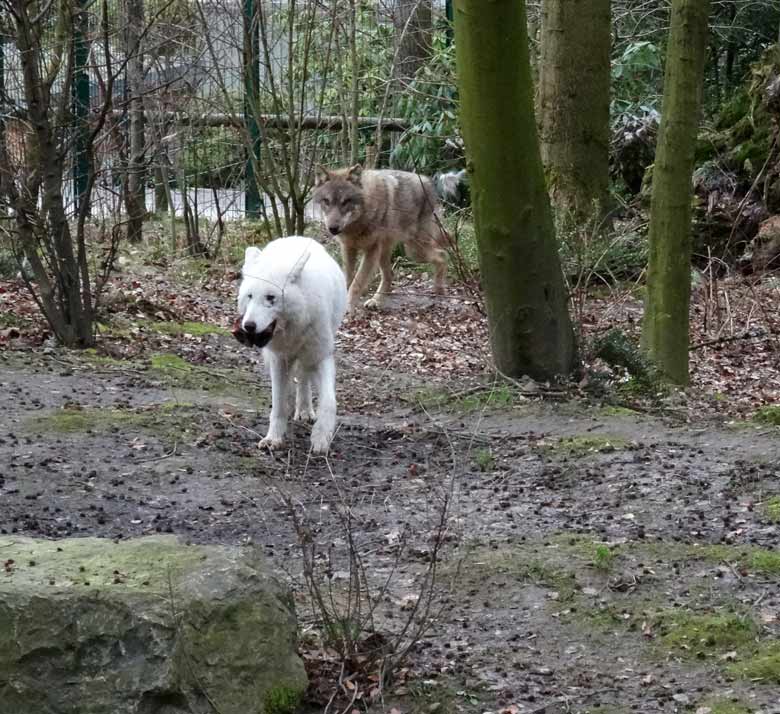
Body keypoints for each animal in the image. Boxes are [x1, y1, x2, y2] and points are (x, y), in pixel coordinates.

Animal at [232, 236, 348, 454]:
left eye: (271, 298)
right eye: (250, 296)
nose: (248, 326)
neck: (296, 326)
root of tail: (298, 237)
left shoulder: (321, 356)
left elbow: (329, 401)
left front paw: (321, 438)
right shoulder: (279, 360)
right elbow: (278, 405)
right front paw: (273, 439)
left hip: (309, 355)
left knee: (303, 377)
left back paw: (305, 411)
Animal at [310, 167, 444, 314]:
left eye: (346, 201)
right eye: (326, 201)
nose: (333, 228)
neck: (357, 224)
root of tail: (428, 181)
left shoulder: (371, 250)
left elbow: (357, 282)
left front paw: (348, 307)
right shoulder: (348, 248)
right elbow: (347, 278)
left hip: (414, 251)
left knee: (442, 255)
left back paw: (439, 288)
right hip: (390, 252)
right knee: (390, 274)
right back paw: (376, 301)